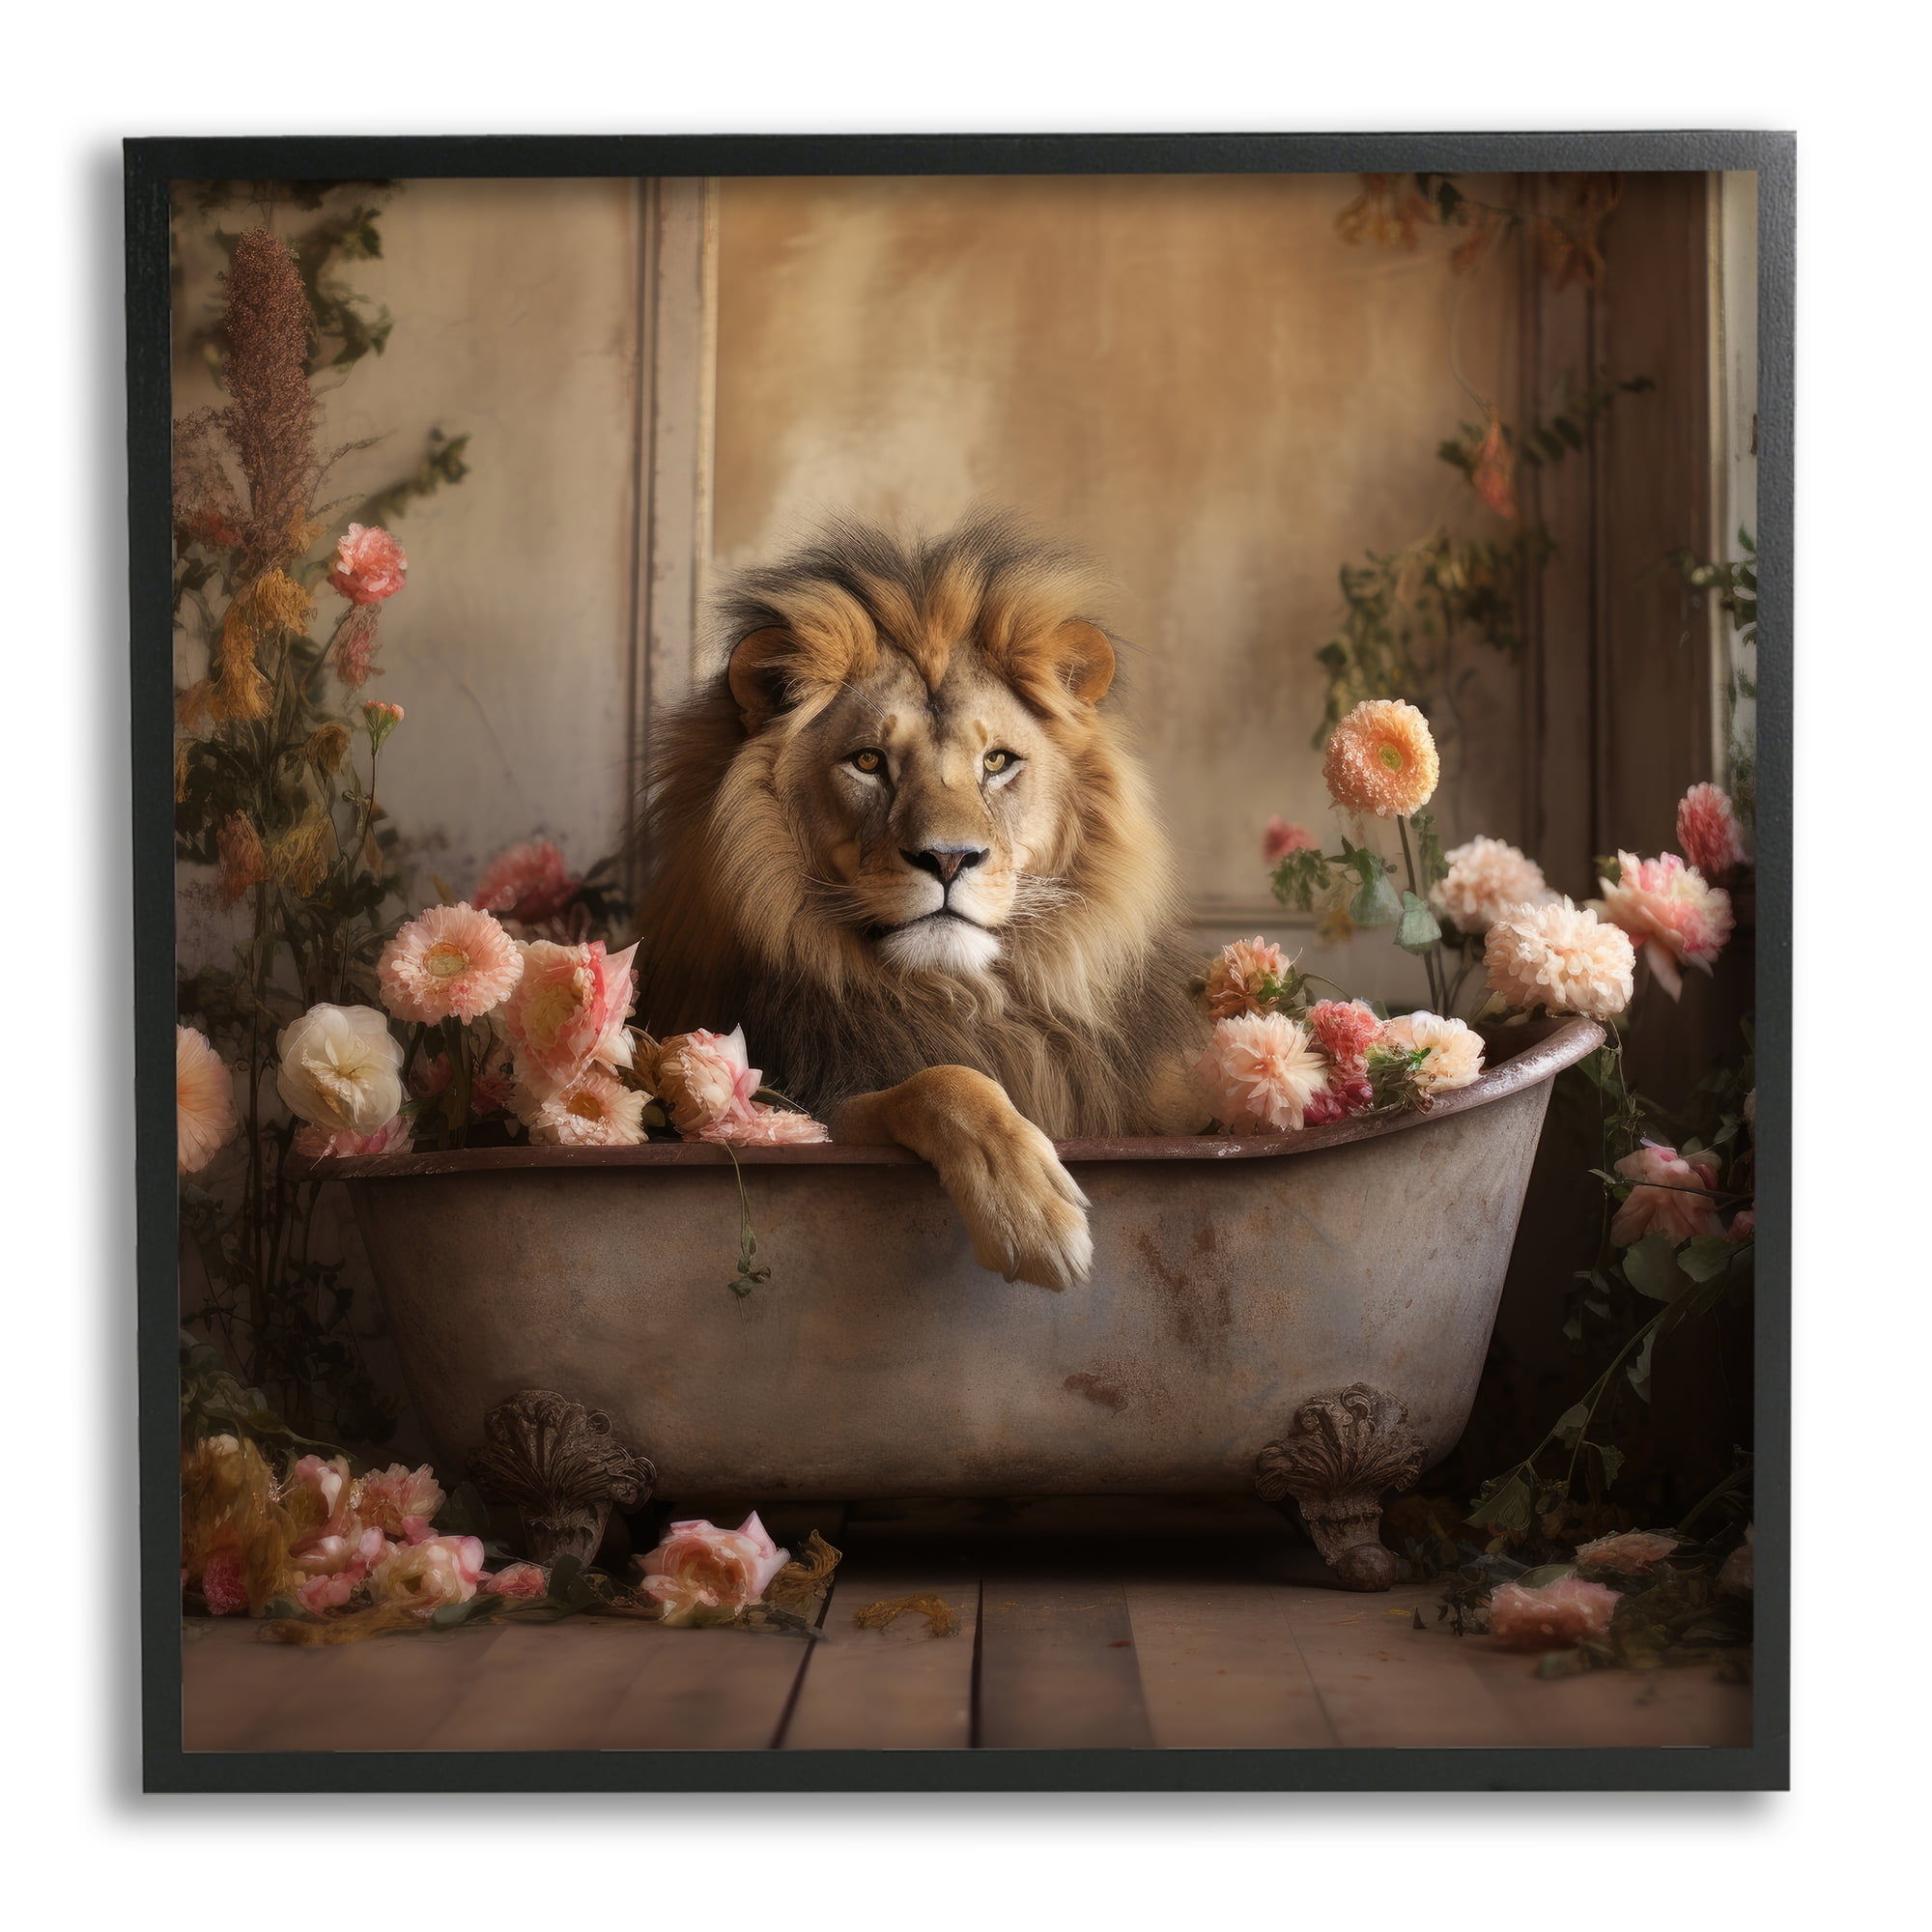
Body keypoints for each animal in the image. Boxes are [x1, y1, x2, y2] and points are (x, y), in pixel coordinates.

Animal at [632, 512, 1209, 1290]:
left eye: (996, 762)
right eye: (868, 762)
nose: (948, 858)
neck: (959, 995)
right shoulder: (805, 1104)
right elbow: (943, 1082)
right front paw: (1031, 1217)